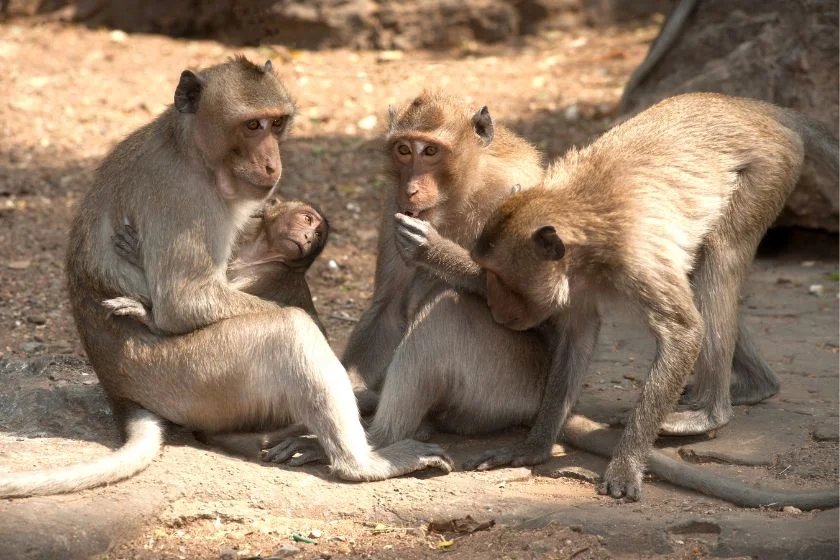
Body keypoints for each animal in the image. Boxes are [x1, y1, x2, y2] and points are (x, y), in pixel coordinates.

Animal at [0, 57, 452, 498]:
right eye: (252, 125)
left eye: (277, 123)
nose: (272, 162)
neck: (188, 148)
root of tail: (119, 392)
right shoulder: (184, 197)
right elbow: (184, 301)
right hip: (188, 378)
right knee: (289, 330)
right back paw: (359, 464)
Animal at [466, 94, 840, 500]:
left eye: (497, 275)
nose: (493, 305)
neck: (585, 241)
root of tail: (754, 108)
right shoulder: (574, 286)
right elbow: (576, 340)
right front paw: (533, 447)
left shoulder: (637, 260)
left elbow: (684, 332)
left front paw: (626, 463)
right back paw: (757, 386)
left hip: (770, 168)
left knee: (719, 254)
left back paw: (710, 414)